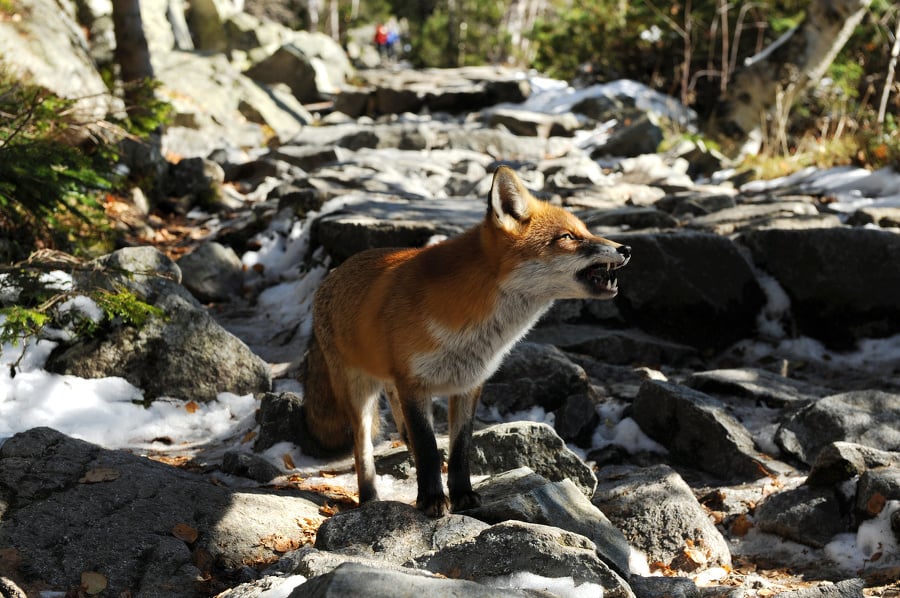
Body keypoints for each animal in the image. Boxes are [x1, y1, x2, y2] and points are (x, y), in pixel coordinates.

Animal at [298, 166, 628, 516]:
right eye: (568, 237)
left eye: (586, 231)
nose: (626, 249)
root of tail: (332, 275)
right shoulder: (414, 384)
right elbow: (429, 448)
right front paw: (431, 499)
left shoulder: (468, 384)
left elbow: (459, 448)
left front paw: (462, 495)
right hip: (359, 393)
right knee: (363, 450)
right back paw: (370, 499)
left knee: (402, 429)